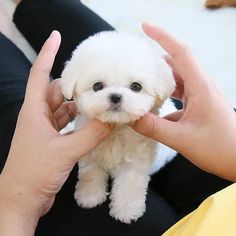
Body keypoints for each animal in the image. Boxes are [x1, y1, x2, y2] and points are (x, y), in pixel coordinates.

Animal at [60, 30, 177, 223]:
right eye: (97, 86)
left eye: (136, 86)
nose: (115, 96)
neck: (116, 127)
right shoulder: (89, 151)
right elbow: (90, 173)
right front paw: (89, 196)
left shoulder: (137, 158)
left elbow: (130, 183)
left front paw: (127, 210)